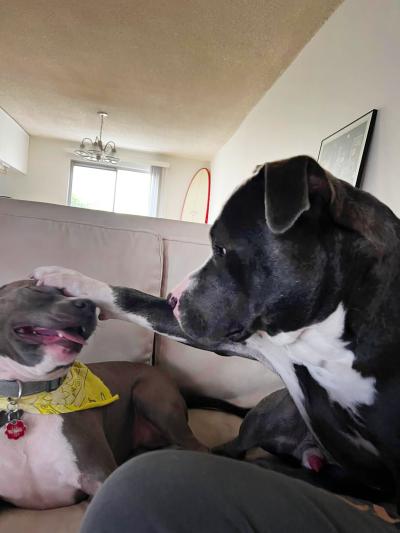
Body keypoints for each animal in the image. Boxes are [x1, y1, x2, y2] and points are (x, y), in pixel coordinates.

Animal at [33, 157, 400, 502]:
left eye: (221, 248)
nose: (173, 298)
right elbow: (129, 298)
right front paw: (68, 279)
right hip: (269, 417)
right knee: (231, 450)